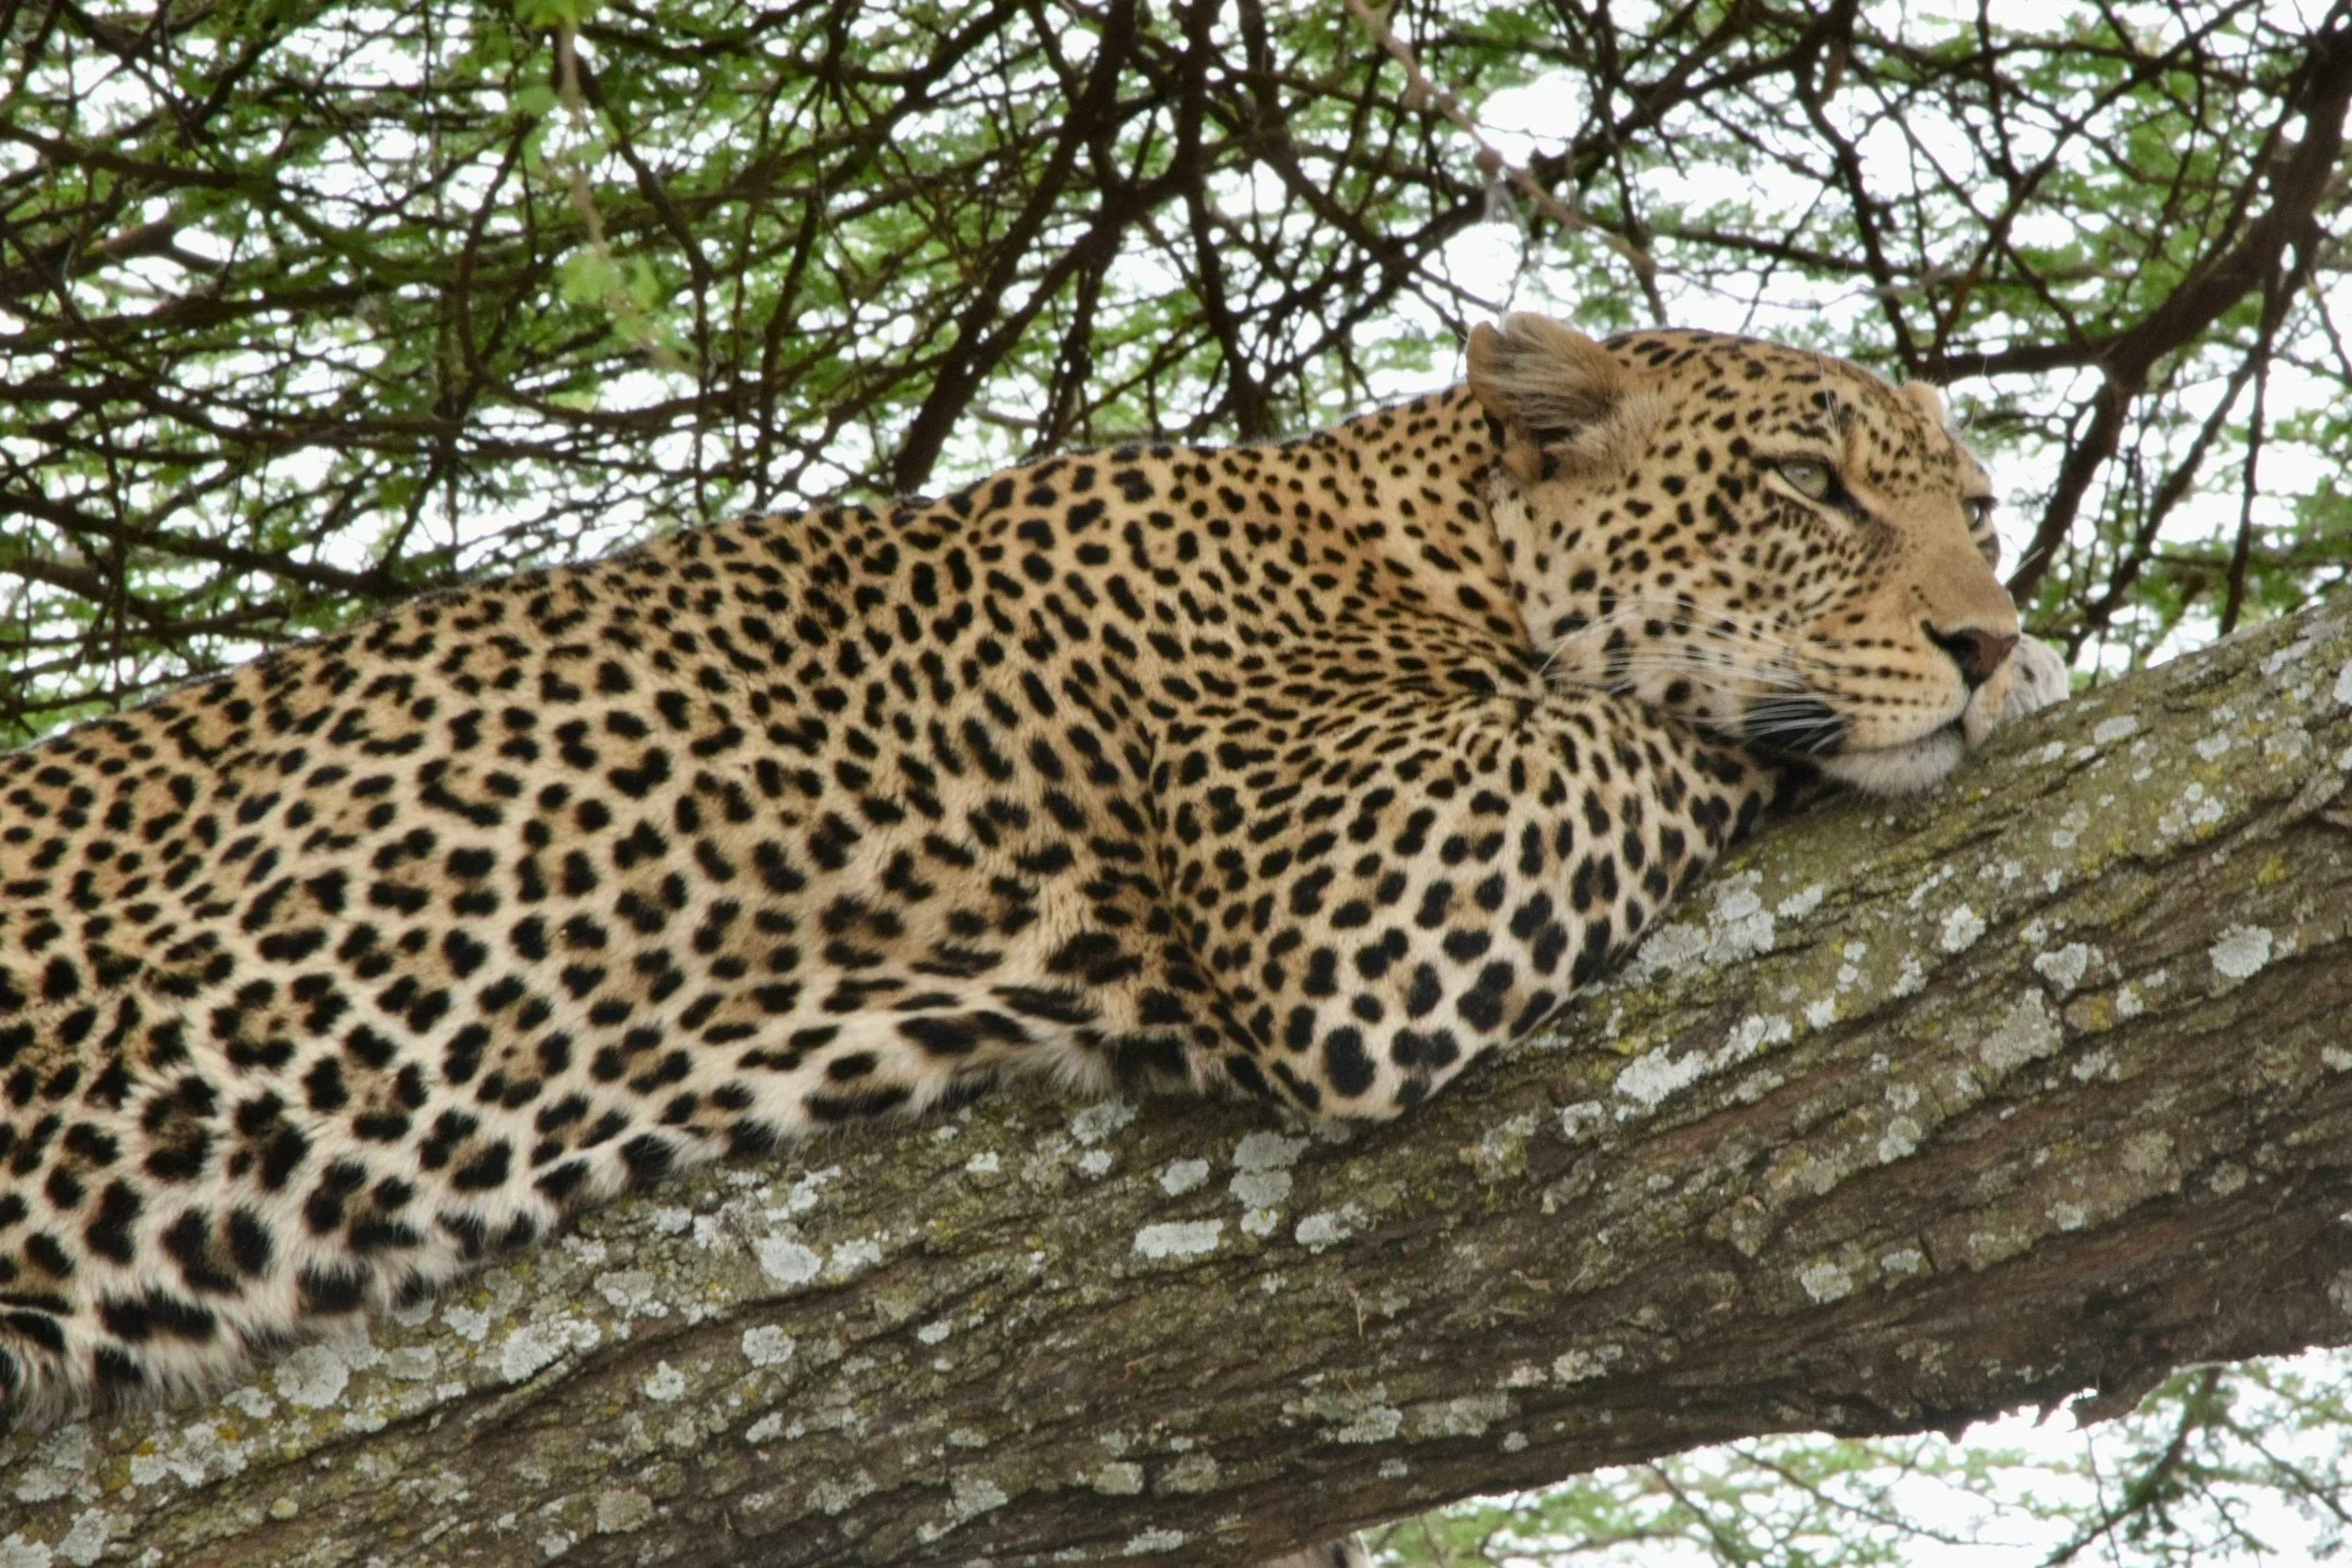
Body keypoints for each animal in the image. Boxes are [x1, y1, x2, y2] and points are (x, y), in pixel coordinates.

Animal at [0, 312, 2065, 1427]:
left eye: (1974, 506)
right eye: (1806, 483)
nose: (1981, 627)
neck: (1414, 534)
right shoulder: (1344, 873)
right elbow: (1659, 718)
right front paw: (1990, 683)